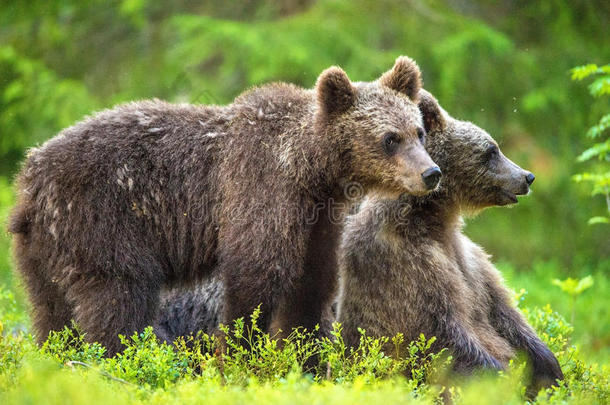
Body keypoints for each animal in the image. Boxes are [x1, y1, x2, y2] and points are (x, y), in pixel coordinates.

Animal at [8, 56, 436, 354]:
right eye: (389, 138)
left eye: (418, 131)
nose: (431, 173)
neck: (309, 168)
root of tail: (28, 179)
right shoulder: (259, 186)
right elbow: (255, 274)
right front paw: (241, 355)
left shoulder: (317, 218)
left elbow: (312, 285)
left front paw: (308, 357)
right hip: (102, 220)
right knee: (119, 300)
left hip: (44, 249)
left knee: (52, 312)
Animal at [334, 90, 564, 392]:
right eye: (491, 151)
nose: (527, 176)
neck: (434, 219)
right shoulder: (406, 263)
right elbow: (441, 331)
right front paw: (503, 381)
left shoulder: (471, 262)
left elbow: (504, 313)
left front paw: (552, 369)